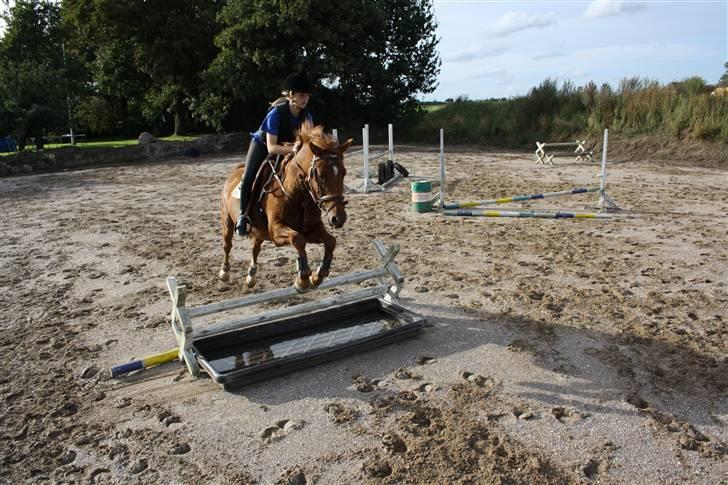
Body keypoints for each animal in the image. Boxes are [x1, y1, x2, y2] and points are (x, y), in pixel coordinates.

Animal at [219, 123, 352, 294]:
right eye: (320, 175)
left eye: (344, 173)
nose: (338, 218)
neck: (298, 194)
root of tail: (235, 172)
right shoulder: (276, 230)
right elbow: (298, 239)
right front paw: (303, 279)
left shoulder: (312, 229)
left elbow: (330, 241)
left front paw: (317, 276)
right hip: (227, 220)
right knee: (227, 245)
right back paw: (224, 272)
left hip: (259, 231)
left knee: (256, 248)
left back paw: (251, 277)